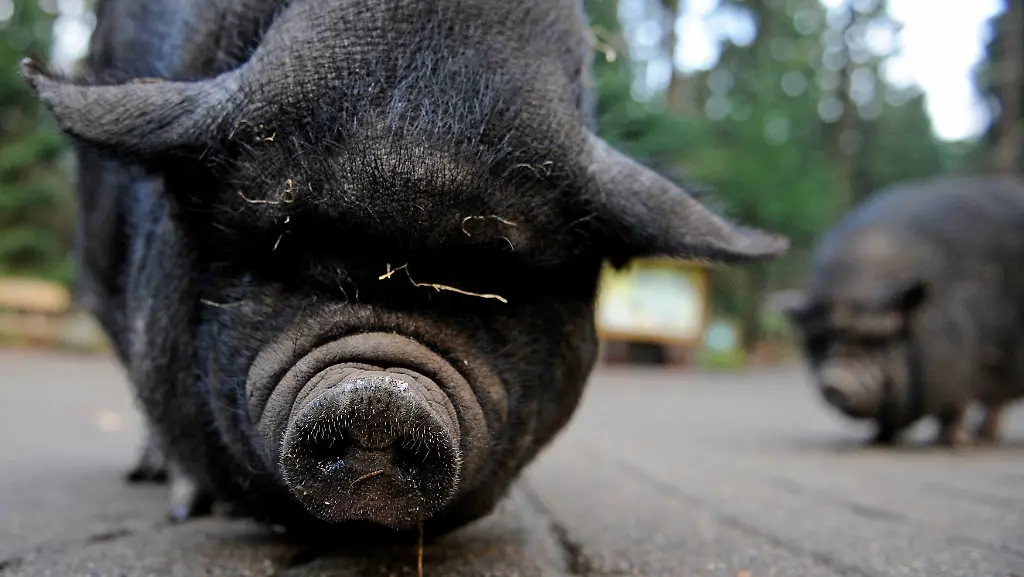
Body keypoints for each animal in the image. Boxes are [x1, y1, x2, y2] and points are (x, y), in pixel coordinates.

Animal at [783, 174, 1024, 448]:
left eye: (875, 339)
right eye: (821, 340)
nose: (835, 384)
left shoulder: (963, 364)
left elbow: (956, 407)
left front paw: (954, 442)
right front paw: (877, 440)